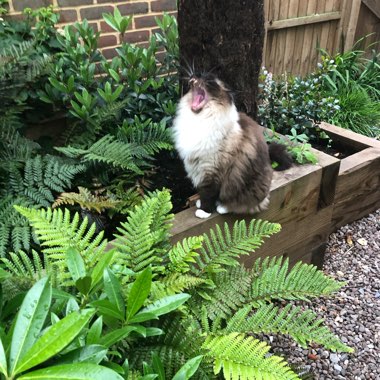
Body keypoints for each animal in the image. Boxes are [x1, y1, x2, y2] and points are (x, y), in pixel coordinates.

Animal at [172, 72, 290, 218]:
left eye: (208, 80)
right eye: (196, 75)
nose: (193, 77)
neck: (200, 119)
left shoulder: (211, 171)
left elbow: (209, 194)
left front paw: (204, 211)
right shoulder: (199, 168)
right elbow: (202, 191)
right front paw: (200, 204)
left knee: (243, 204)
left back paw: (222, 207)